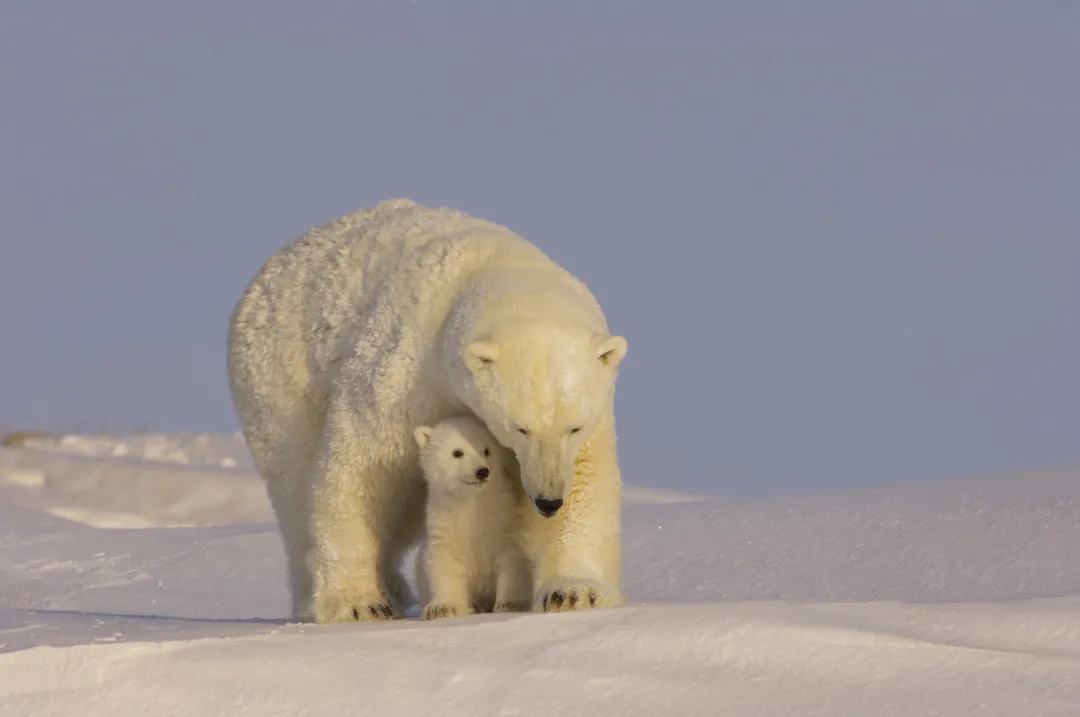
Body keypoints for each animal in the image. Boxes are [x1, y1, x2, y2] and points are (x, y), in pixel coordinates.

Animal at [410, 414, 533, 621]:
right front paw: (442, 608)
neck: (471, 504)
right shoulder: (444, 522)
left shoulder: (505, 522)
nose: (482, 472)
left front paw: (511, 604)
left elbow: (512, 559)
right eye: (457, 452)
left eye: (487, 450)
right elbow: (444, 561)